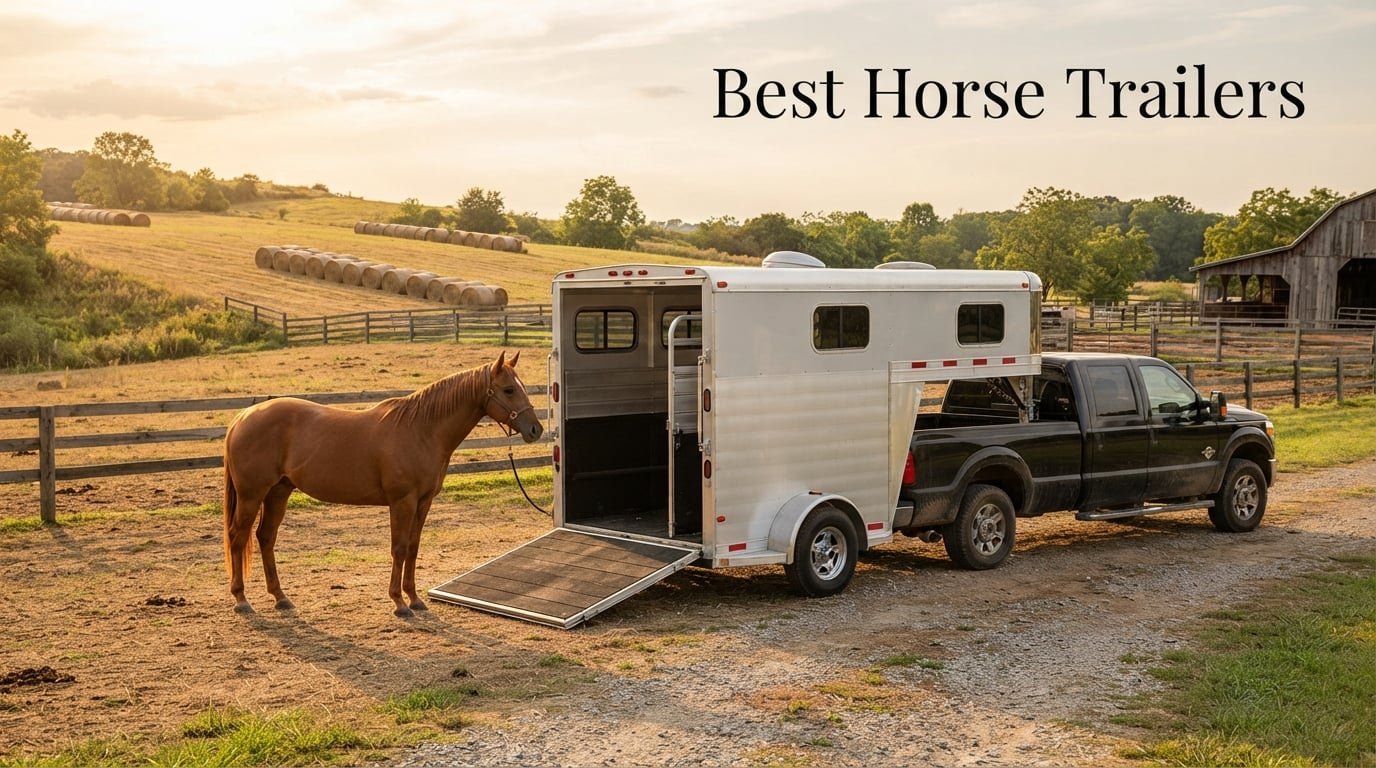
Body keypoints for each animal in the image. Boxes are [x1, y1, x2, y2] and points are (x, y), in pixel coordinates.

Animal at [223, 350, 543, 617]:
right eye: (509, 389)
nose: (535, 429)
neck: (421, 430)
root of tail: (242, 417)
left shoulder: (423, 502)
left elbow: (413, 547)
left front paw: (414, 598)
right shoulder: (402, 501)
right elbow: (399, 548)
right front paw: (399, 603)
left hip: (278, 492)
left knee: (265, 537)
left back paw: (281, 598)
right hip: (252, 496)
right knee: (238, 538)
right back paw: (241, 600)